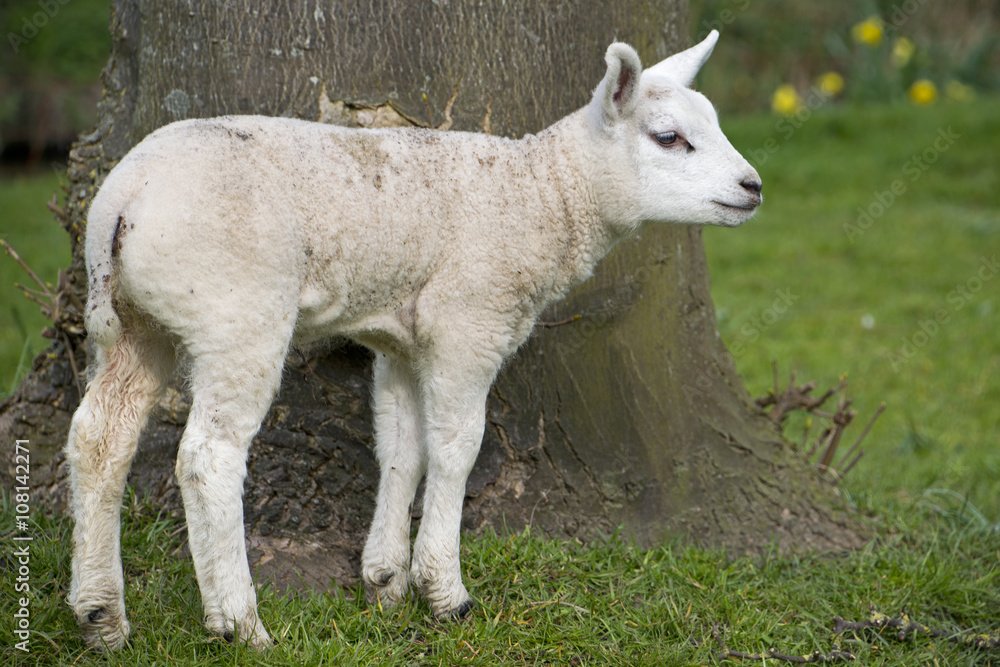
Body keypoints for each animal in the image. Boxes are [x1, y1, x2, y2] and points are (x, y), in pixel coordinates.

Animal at [66, 29, 761, 650]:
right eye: (668, 137)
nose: (753, 187)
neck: (545, 195)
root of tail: (122, 199)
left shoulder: (401, 339)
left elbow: (404, 445)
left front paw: (385, 578)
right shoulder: (469, 322)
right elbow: (457, 447)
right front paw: (444, 591)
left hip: (136, 323)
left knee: (101, 437)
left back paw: (102, 616)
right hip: (237, 312)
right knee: (208, 457)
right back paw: (239, 623)